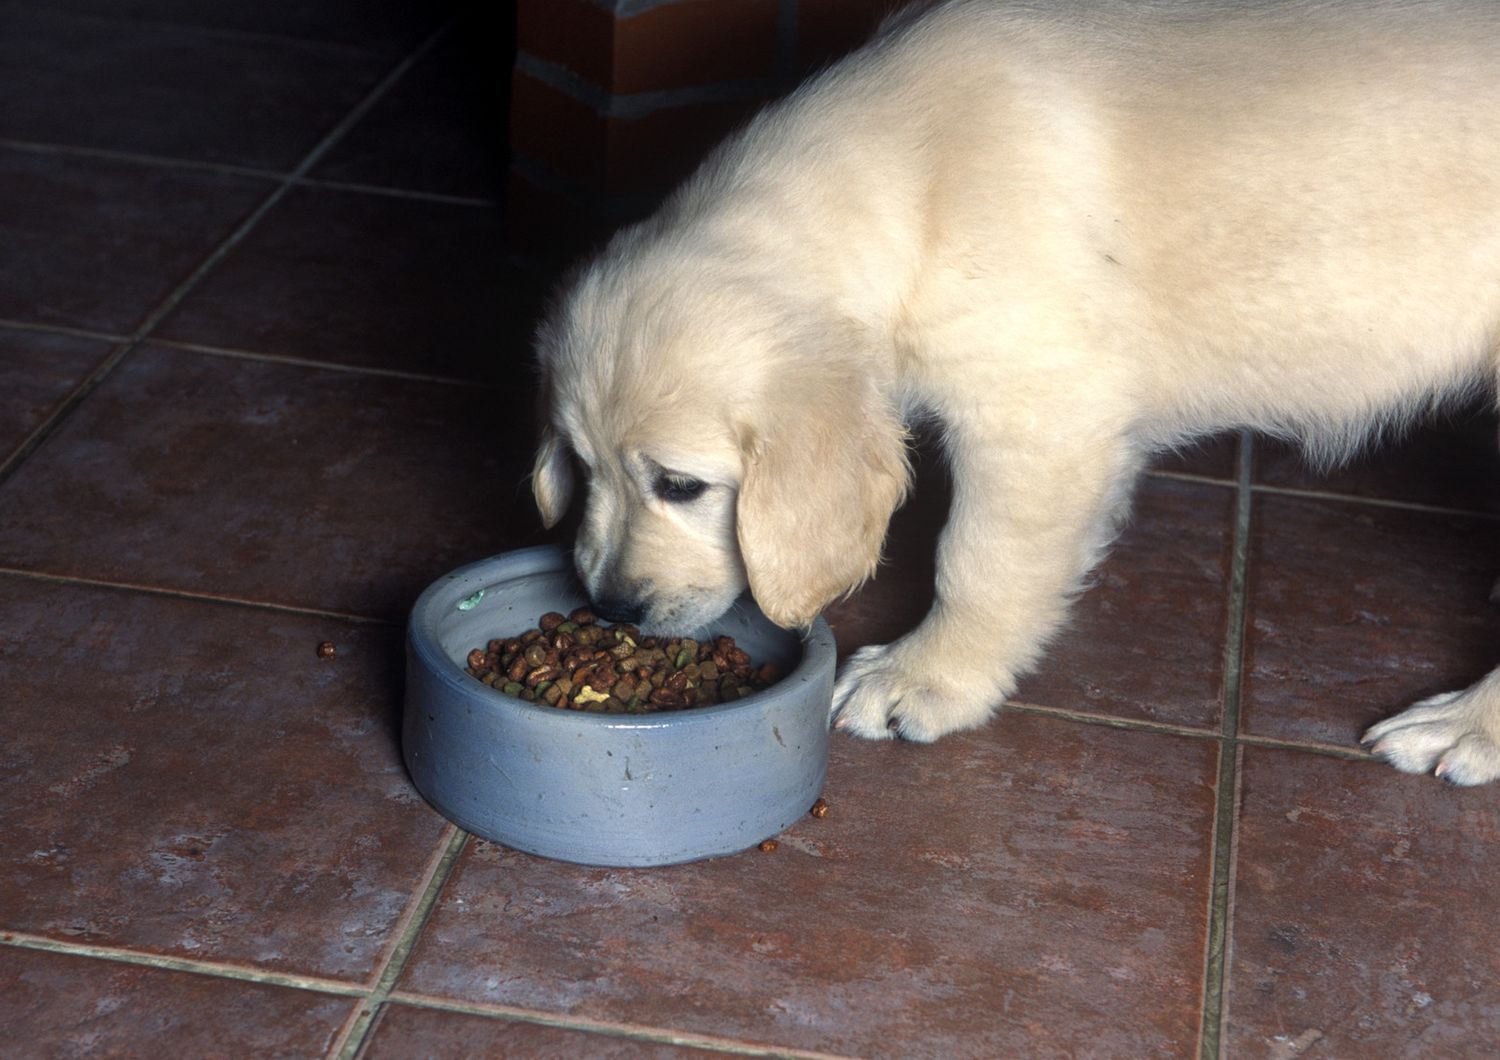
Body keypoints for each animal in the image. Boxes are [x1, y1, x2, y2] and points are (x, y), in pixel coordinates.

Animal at [528, 0, 1500, 779]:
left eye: (682, 486)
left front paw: (926, 677)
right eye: (583, 469)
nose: (609, 607)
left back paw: (1466, 727)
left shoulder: (1040, 417)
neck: (909, 188)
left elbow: (979, 561)